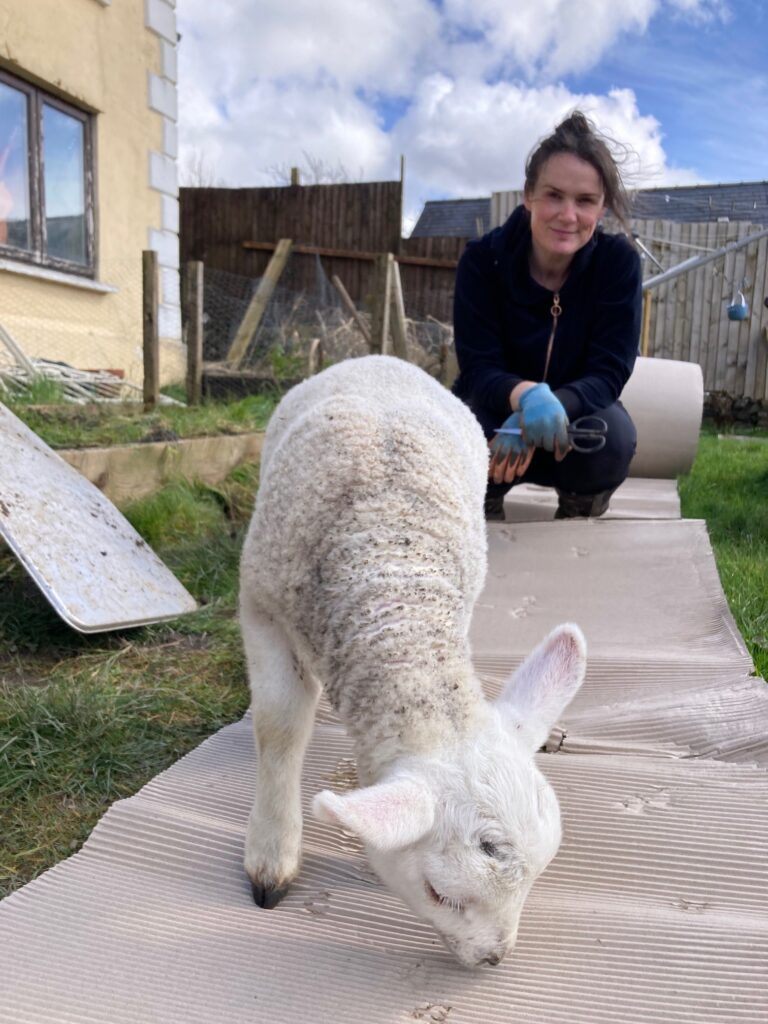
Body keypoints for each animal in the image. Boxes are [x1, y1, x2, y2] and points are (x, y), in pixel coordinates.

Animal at [240, 354, 586, 968]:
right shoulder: (260, 605)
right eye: (438, 893)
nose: (494, 960)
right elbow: (278, 727)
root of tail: (381, 358)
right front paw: (271, 856)